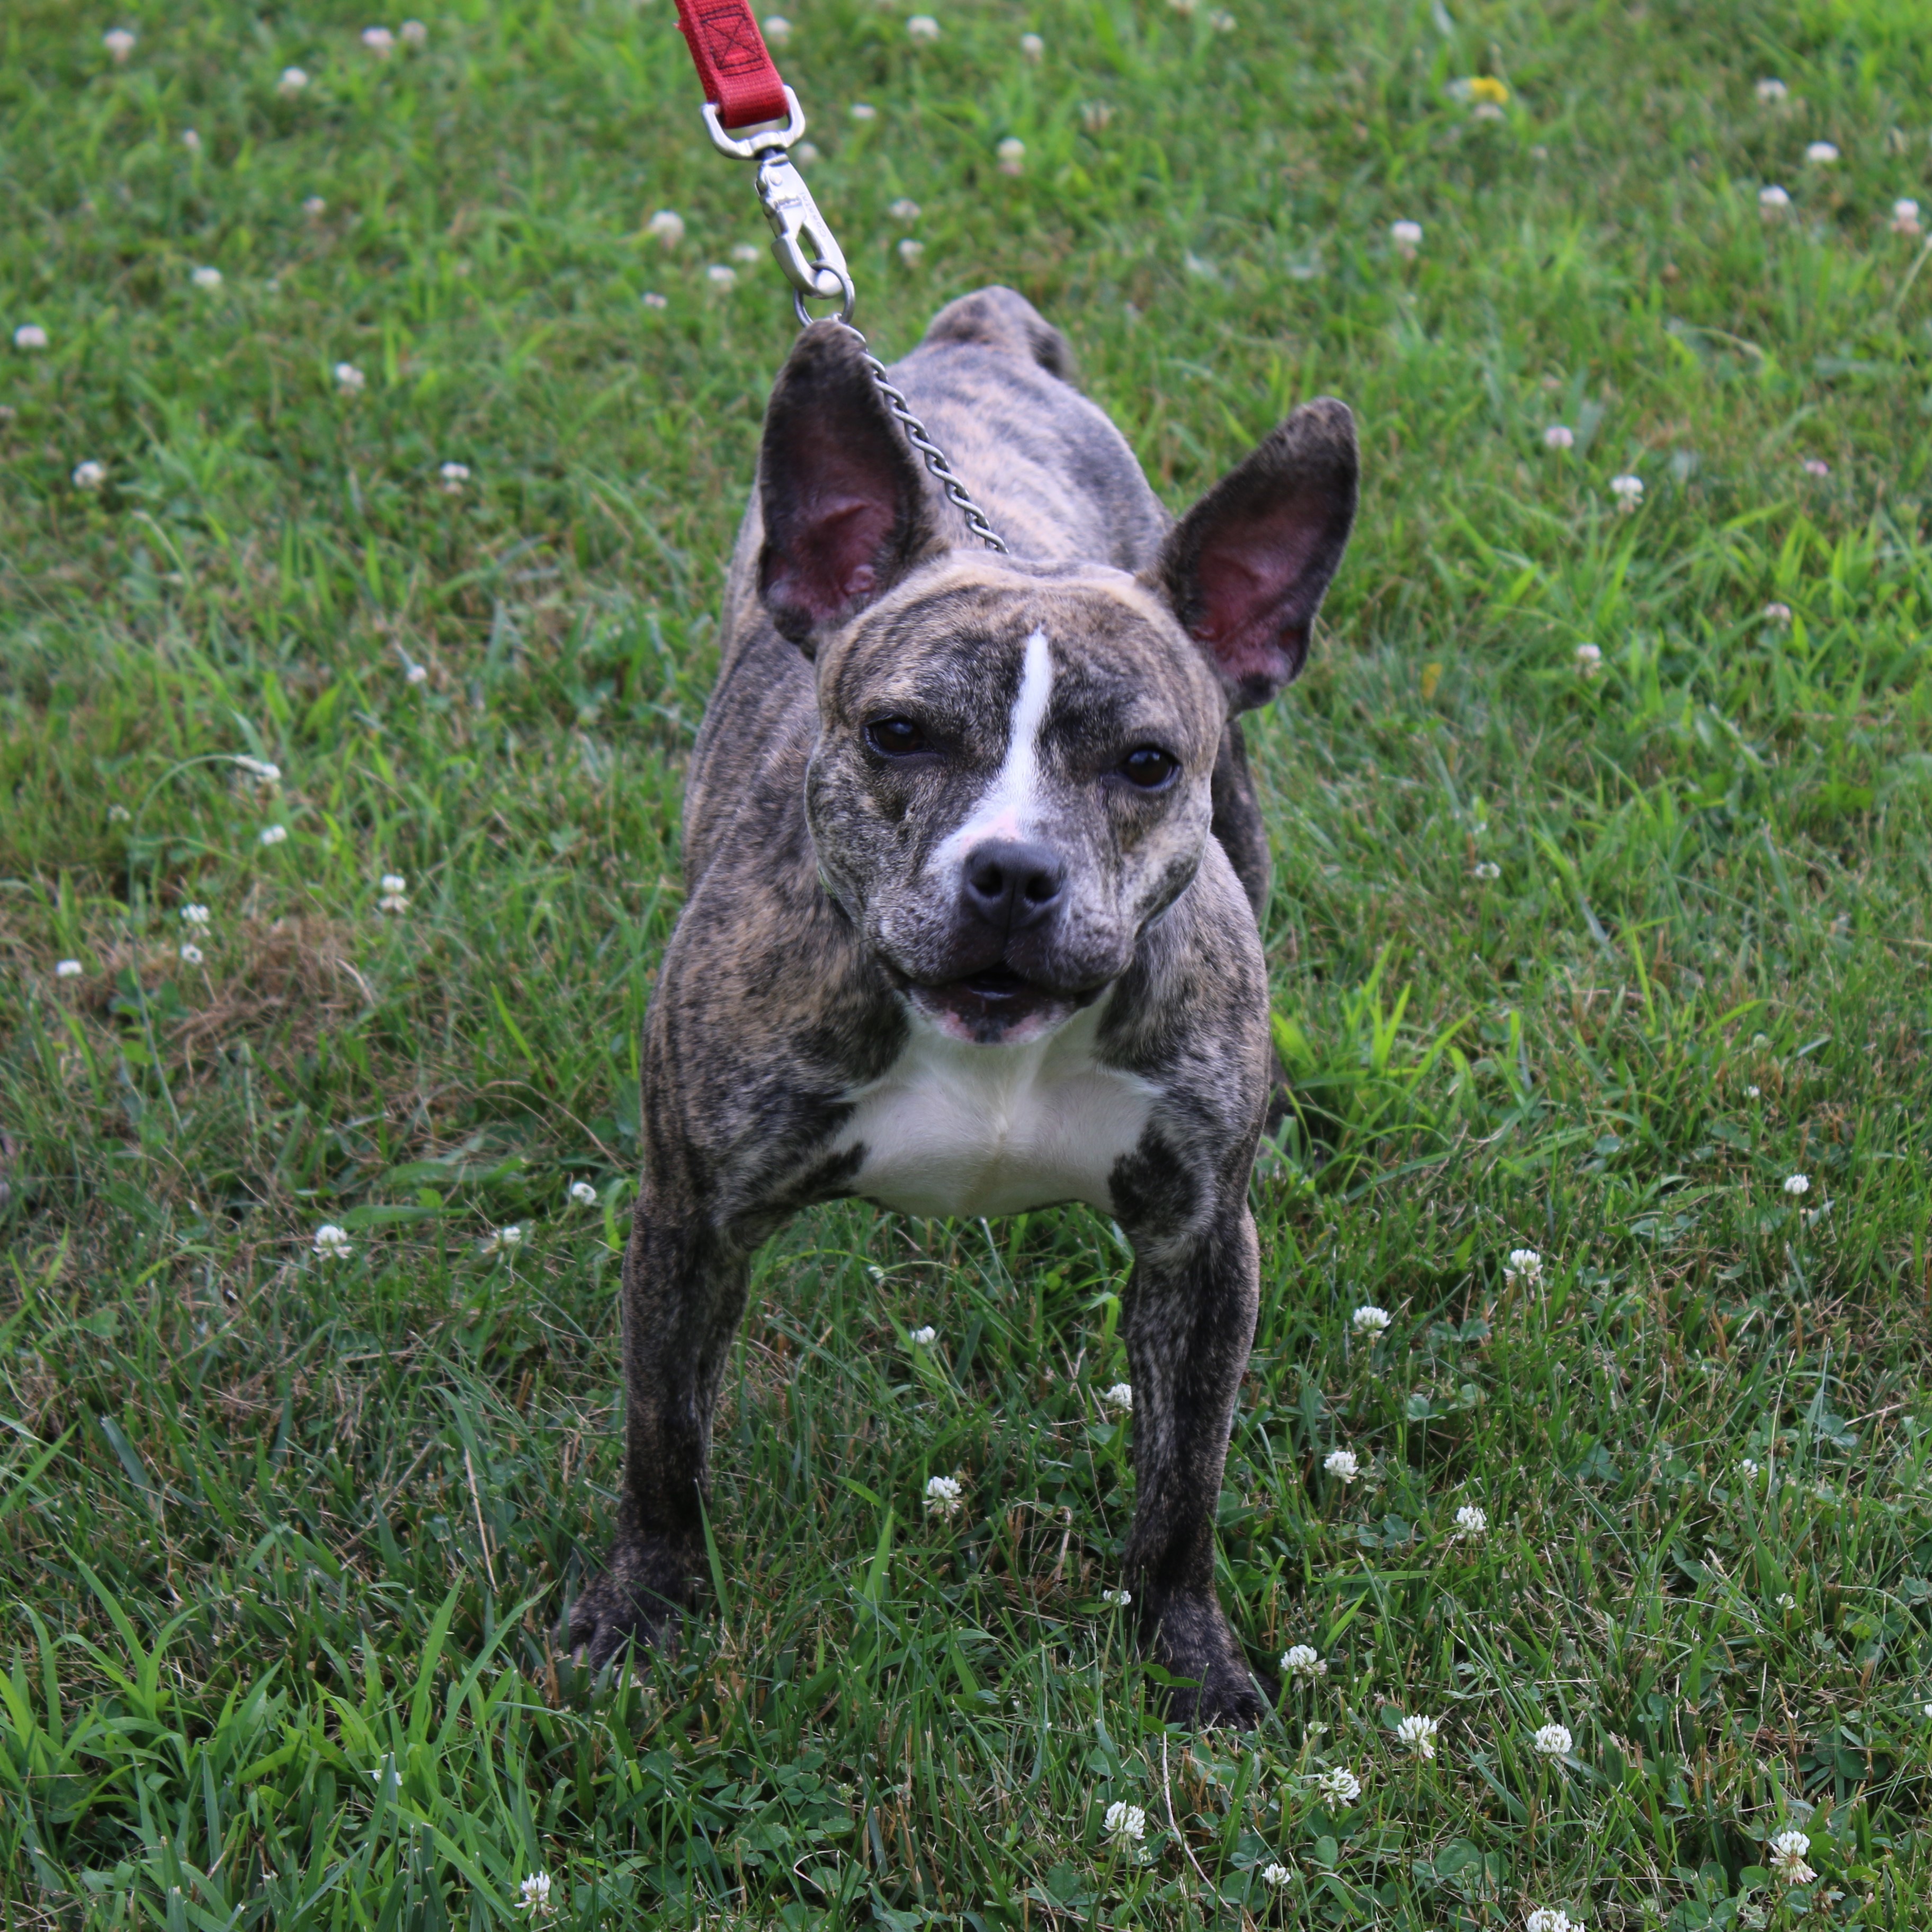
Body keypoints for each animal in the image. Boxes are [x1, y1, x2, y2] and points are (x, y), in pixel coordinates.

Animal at [564, 282, 1360, 1723]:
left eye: (1147, 764)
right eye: (899, 734)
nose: (1013, 873)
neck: (992, 1043)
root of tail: (978, 336)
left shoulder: (1201, 1250)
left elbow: (1186, 1480)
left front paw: (1189, 1654)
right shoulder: (690, 1220)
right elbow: (664, 1439)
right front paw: (643, 1604)